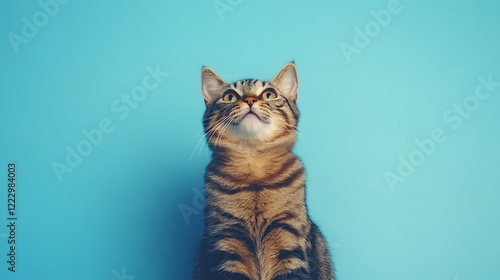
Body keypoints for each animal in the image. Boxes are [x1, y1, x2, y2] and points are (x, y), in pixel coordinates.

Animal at [193, 62, 334, 278]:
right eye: (230, 96)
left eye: (269, 94)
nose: (250, 99)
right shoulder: (227, 241)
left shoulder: (289, 239)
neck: (255, 171)